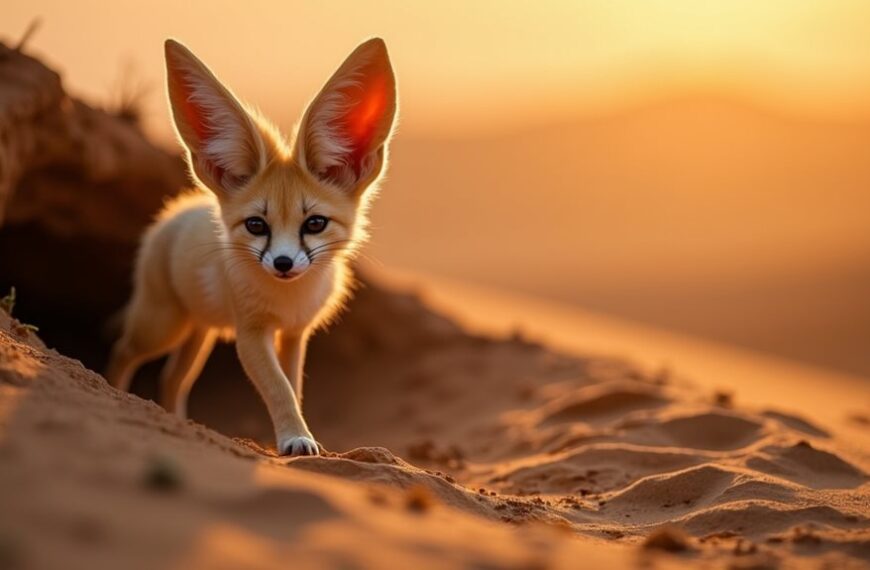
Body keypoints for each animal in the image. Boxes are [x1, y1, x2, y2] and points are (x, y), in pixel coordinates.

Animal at [105, 38, 397, 456]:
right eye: (257, 225)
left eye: (315, 224)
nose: (283, 263)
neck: (287, 298)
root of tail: (177, 210)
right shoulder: (251, 333)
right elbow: (278, 389)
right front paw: (295, 439)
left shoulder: (294, 333)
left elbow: (293, 386)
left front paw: (300, 434)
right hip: (163, 326)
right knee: (124, 350)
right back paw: (115, 394)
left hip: (200, 332)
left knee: (172, 377)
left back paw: (177, 422)